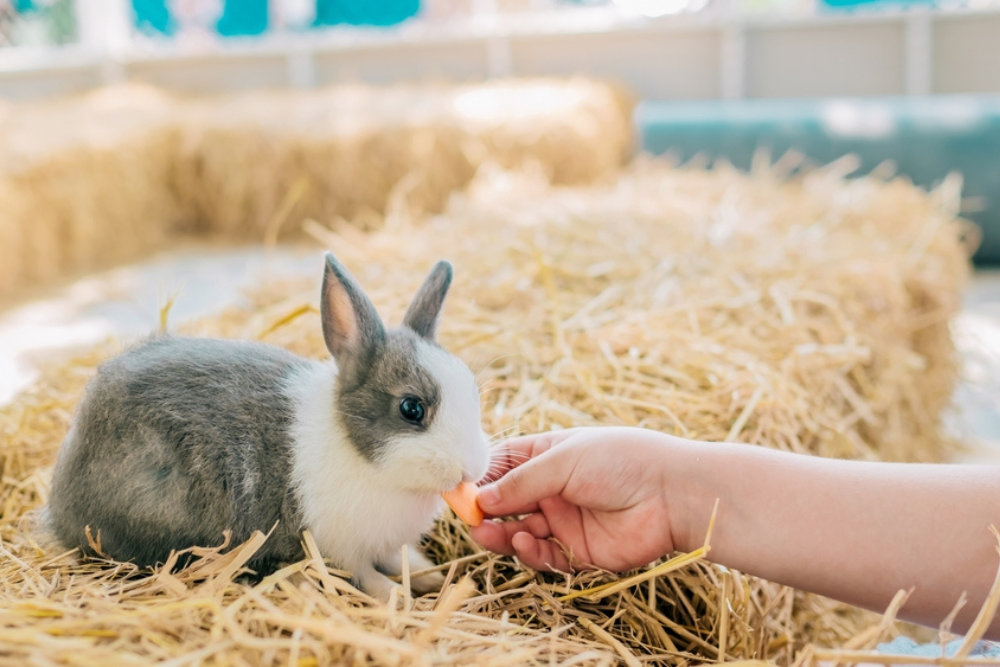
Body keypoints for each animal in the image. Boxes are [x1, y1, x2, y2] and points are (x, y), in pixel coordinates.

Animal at [47, 253, 492, 596]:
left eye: (473, 391)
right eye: (411, 409)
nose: (471, 469)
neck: (360, 454)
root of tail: (58, 507)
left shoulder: (385, 546)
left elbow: (406, 562)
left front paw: (439, 579)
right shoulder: (342, 549)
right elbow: (368, 578)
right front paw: (398, 598)